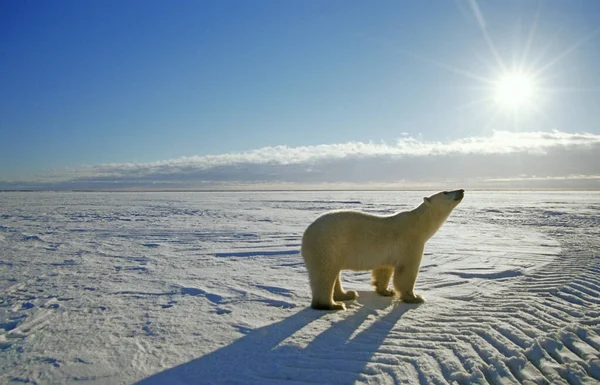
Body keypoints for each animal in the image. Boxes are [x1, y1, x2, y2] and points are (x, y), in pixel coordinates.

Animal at [300, 189, 464, 308]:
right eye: (445, 192)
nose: (461, 190)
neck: (419, 224)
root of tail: (306, 234)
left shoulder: (388, 252)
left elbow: (384, 269)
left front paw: (386, 291)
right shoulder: (410, 242)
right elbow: (407, 271)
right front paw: (414, 297)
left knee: (334, 273)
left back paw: (347, 294)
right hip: (328, 244)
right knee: (325, 273)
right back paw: (333, 305)